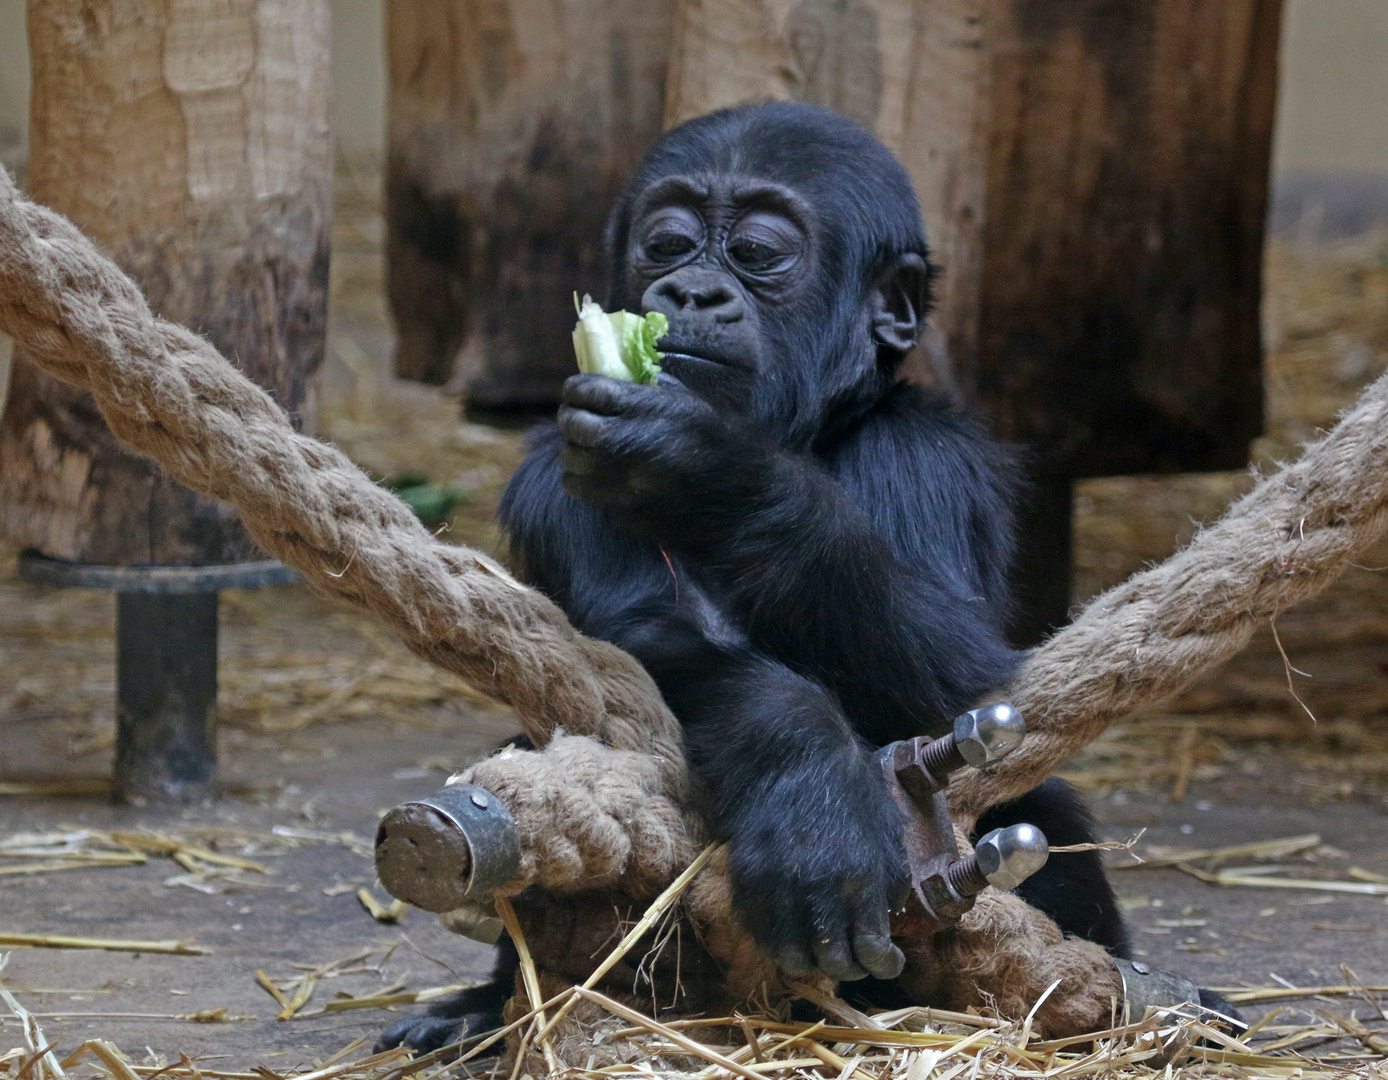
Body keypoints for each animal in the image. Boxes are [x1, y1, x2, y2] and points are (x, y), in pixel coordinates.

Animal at [380, 103, 1215, 1049]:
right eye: (667, 244)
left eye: (756, 253)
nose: (692, 293)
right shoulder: (553, 469)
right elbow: (645, 639)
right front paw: (808, 786)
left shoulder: (930, 457)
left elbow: (960, 677)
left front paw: (715, 473)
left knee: (1044, 807)